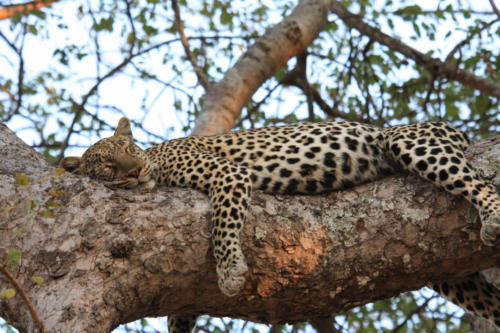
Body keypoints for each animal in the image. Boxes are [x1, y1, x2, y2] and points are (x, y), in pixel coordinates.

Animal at [61, 116, 500, 330]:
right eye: (106, 164)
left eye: (128, 147)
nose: (135, 171)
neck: (158, 160)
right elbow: (179, 316)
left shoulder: (229, 176)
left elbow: (223, 224)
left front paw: (230, 272)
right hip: (449, 275)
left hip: (411, 140)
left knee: (480, 183)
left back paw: (492, 217)